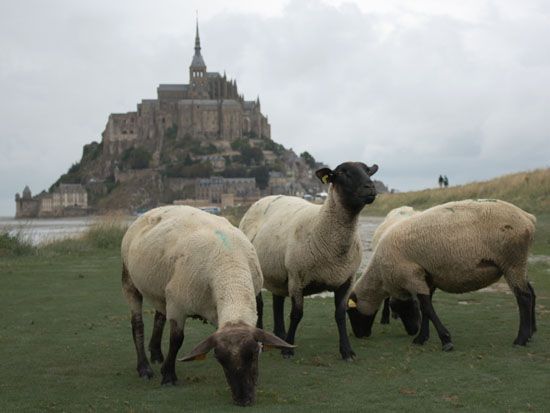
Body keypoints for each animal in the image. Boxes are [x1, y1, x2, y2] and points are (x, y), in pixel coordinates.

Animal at [120, 204, 294, 404]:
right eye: (220, 360)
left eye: (254, 354)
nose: (243, 400)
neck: (229, 268)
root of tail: (154, 209)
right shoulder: (178, 306)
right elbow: (176, 340)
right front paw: (168, 376)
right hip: (129, 280)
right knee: (137, 324)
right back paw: (144, 368)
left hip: (162, 290)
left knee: (159, 317)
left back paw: (156, 354)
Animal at [239, 159, 382, 358]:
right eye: (342, 173)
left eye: (368, 171)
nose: (370, 187)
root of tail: (260, 200)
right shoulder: (297, 278)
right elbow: (296, 314)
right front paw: (289, 350)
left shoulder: (346, 279)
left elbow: (340, 314)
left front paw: (347, 351)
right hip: (257, 270)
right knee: (259, 304)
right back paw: (264, 340)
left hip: (278, 271)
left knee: (277, 302)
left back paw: (280, 336)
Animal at [350, 198, 540, 350]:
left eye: (349, 312)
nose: (359, 335)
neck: (380, 274)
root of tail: (528, 218)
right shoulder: (427, 276)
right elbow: (426, 307)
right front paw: (422, 338)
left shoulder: (411, 275)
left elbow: (426, 306)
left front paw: (445, 340)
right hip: (518, 264)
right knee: (530, 292)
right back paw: (531, 333)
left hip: (513, 261)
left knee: (524, 297)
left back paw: (521, 339)